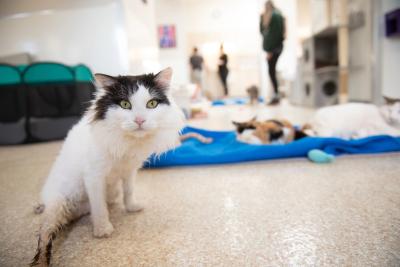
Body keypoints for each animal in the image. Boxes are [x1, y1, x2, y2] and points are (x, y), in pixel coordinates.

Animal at [30, 68, 184, 266]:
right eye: (125, 104)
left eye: (152, 104)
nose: (140, 120)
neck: (127, 141)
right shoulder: (94, 176)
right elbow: (99, 206)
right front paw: (103, 229)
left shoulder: (129, 171)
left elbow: (128, 192)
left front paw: (132, 207)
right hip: (57, 205)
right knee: (45, 235)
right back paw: (41, 259)